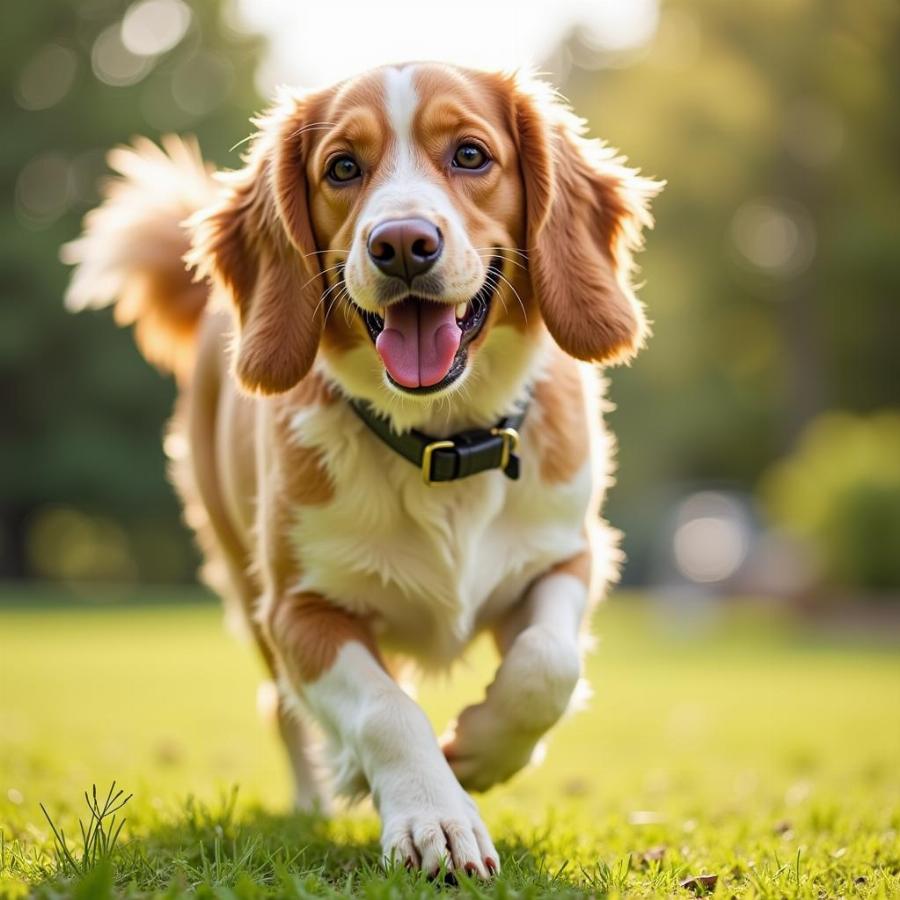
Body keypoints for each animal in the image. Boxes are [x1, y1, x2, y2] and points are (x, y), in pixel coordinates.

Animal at [63, 63, 656, 880]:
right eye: (342, 167)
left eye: (470, 155)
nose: (402, 243)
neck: (438, 442)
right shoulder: (298, 611)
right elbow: (384, 711)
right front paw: (434, 814)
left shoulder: (567, 556)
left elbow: (547, 664)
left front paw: (477, 752)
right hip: (245, 584)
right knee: (284, 706)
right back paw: (319, 798)